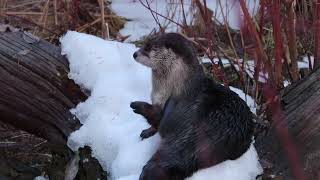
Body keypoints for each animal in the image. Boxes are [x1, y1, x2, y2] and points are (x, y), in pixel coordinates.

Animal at [129, 33, 252, 179]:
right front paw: (148, 131)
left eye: (148, 47)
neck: (180, 85)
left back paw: (139, 106)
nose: (134, 54)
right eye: (145, 43)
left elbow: (159, 122)